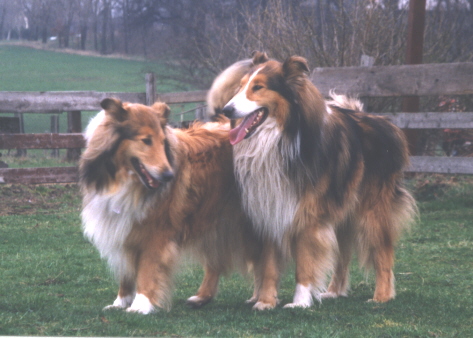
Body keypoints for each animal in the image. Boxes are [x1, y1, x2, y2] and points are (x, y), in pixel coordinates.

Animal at [80, 97, 268, 314]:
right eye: (146, 140)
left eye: (163, 142)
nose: (169, 176)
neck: (125, 182)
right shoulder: (122, 227)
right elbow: (125, 271)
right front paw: (121, 301)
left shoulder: (156, 232)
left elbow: (147, 269)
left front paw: (141, 304)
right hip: (217, 218)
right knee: (218, 260)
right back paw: (203, 297)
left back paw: (261, 297)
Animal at [207, 52, 416, 308]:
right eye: (240, 86)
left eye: (258, 87)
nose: (226, 110)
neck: (282, 139)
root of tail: (383, 122)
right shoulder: (270, 208)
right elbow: (269, 264)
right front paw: (266, 301)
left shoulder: (309, 216)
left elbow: (305, 263)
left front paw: (300, 302)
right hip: (342, 213)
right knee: (343, 255)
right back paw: (335, 291)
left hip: (373, 211)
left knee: (383, 252)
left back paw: (382, 296)